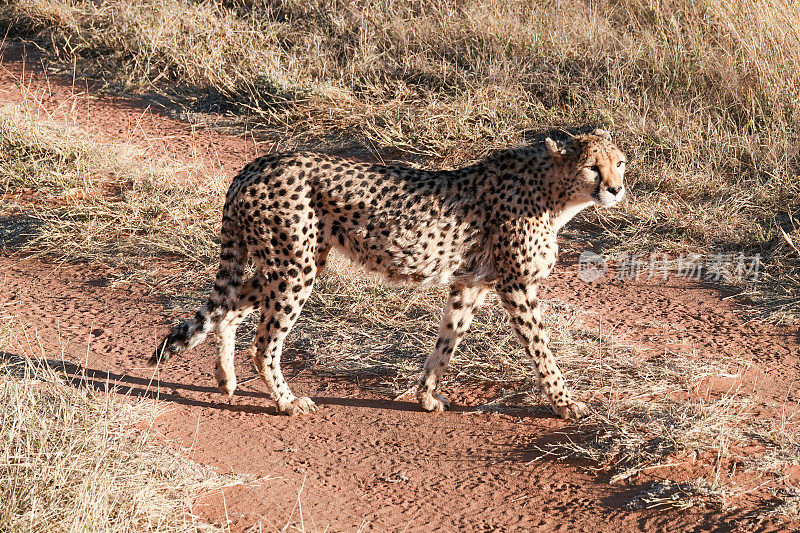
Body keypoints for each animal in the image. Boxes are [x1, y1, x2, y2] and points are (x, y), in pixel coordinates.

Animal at [150, 130, 624, 420]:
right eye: (592, 167)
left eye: (620, 162)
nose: (616, 188)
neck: (554, 192)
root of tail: (256, 165)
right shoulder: (516, 286)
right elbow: (542, 351)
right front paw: (566, 403)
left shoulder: (469, 284)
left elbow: (447, 341)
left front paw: (427, 394)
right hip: (294, 266)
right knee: (264, 342)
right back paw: (286, 402)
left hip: (289, 262)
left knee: (229, 310)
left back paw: (225, 378)